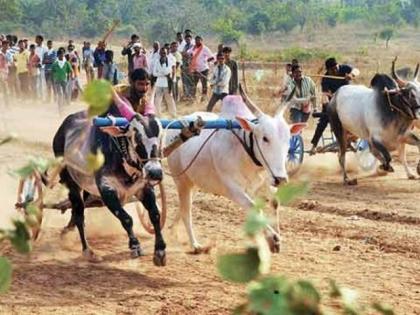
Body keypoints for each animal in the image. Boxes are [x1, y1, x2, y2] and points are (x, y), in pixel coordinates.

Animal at [166, 88, 304, 254]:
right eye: (265, 138)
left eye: (288, 139)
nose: (281, 179)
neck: (246, 153)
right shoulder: (234, 191)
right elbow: (255, 209)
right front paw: (273, 239)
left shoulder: (265, 182)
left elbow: (274, 204)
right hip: (181, 180)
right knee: (187, 212)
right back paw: (195, 245)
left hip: (193, 182)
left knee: (183, 207)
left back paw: (173, 230)